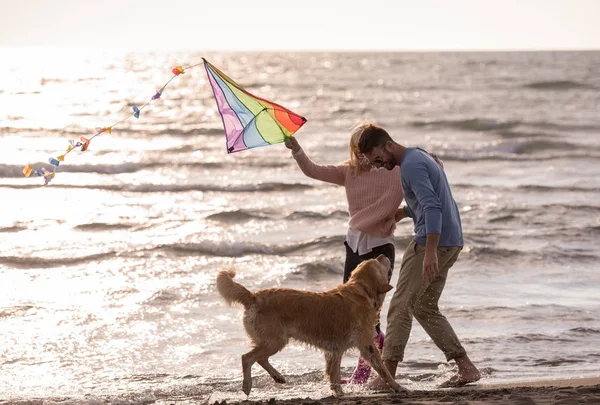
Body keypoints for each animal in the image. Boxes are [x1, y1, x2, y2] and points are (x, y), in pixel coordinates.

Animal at [216, 256, 404, 394]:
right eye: (378, 263)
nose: (382, 254)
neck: (362, 291)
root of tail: (253, 296)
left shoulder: (334, 350)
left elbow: (334, 375)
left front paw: (339, 393)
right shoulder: (367, 345)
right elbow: (383, 369)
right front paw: (398, 387)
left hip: (273, 341)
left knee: (260, 358)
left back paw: (278, 377)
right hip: (275, 340)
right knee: (247, 358)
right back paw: (247, 385)